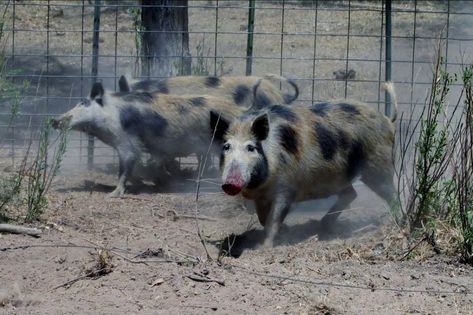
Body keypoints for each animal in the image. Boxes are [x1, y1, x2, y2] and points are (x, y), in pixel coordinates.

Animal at [52, 82, 243, 199]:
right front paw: (158, 183)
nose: (54, 120)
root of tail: (240, 111)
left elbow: (125, 168)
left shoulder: (126, 141)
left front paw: (112, 194)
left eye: (83, 103)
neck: (110, 114)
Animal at [211, 83, 398, 247]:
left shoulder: (287, 187)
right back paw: (321, 226)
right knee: (351, 194)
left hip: (377, 165)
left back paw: (393, 220)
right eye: (226, 146)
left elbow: (273, 219)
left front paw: (264, 247)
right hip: (340, 177)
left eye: (251, 147)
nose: (230, 183)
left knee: (391, 193)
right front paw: (283, 231)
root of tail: (387, 120)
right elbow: (263, 218)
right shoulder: (260, 197)